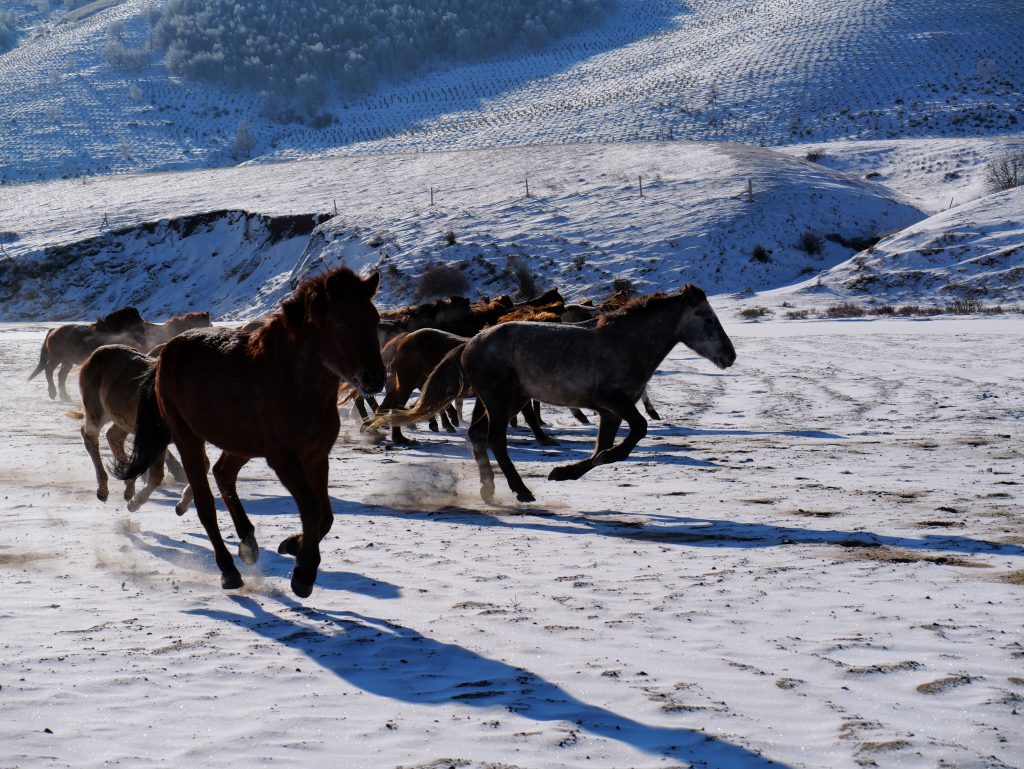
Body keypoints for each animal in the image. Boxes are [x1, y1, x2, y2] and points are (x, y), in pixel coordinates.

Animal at [112, 268, 385, 597]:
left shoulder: (317, 456)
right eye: (341, 322)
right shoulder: (284, 459)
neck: (293, 381)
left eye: (374, 319)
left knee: (223, 473)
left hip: (239, 444)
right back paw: (229, 571)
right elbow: (311, 509)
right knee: (206, 504)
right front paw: (303, 575)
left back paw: (248, 544)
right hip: (188, 438)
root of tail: (164, 355)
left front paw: (292, 545)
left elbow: (325, 514)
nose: (375, 378)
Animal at [372, 286, 733, 501]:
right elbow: (636, 432)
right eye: (707, 318)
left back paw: (488, 489)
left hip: (498, 401)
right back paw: (520, 491)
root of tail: (470, 342)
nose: (729, 356)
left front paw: (565, 472)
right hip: (501, 401)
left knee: (476, 436)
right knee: (495, 440)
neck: (626, 343)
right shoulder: (613, 402)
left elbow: (602, 447)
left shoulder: (610, 412)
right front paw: (588, 463)